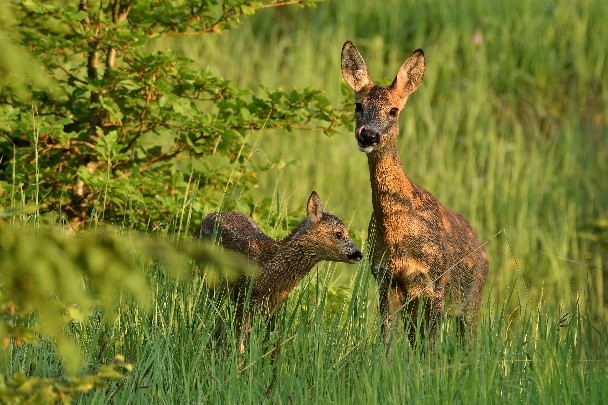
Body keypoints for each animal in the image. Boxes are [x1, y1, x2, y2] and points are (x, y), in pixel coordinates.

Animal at [198, 191, 360, 352]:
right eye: (339, 233)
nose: (358, 254)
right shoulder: (243, 298)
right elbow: (240, 341)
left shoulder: (276, 305)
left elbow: (274, 341)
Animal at [342, 41, 490, 350]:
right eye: (358, 105)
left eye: (393, 110)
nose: (368, 135)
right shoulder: (385, 280)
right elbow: (387, 343)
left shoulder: (436, 281)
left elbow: (431, 348)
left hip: (471, 301)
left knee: (468, 343)